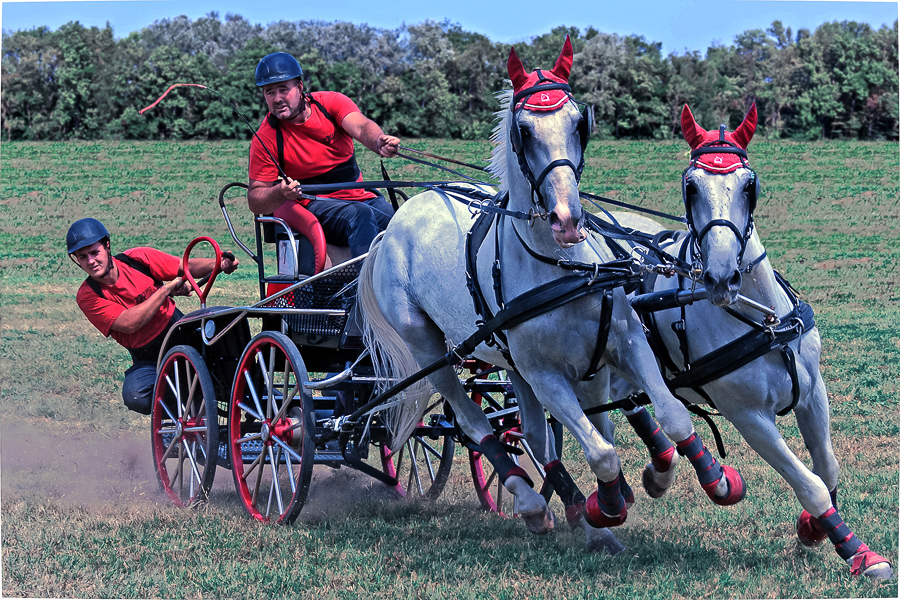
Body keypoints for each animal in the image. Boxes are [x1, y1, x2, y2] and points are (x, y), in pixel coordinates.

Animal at [358, 35, 744, 548]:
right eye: (523, 130)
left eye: (580, 123)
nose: (566, 219)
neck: (560, 269)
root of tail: (396, 223)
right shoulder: (545, 374)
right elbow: (600, 451)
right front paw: (608, 506)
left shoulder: (623, 343)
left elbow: (670, 414)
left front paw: (711, 480)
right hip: (429, 351)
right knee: (473, 420)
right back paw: (533, 501)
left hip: (511, 363)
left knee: (535, 433)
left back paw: (571, 505)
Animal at [600, 105, 888, 580]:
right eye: (690, 186)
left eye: (749, 186)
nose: (721, 278)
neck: (763, 319)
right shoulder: (748, 416)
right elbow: (809, 484)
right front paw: (858, 552)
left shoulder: (814, 392)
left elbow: (828, 468)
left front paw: (813, 530)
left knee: (630, 402)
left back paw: (658, 472)